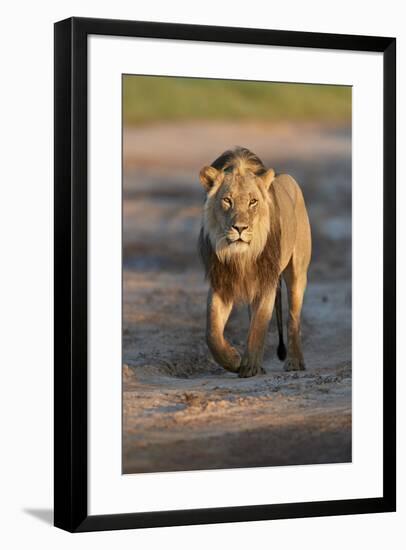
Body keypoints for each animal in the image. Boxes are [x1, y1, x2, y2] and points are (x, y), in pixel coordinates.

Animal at [198, 147, 312, 380]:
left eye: (253, 202)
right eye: (227, 200)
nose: (240, 228)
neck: (242, 255)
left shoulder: (266, 282)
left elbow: (259, 326)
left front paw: (249, 366)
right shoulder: (221, 283)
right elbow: (212, 332)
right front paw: (233, 359)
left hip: (297, 272)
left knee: (293, 318)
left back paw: (295, 362)